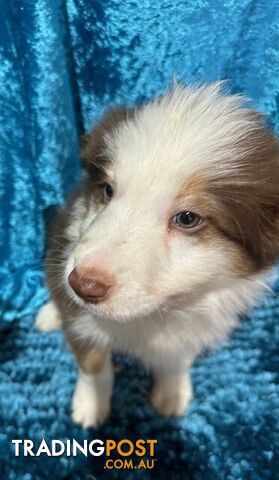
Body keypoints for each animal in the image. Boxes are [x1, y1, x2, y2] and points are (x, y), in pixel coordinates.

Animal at [36, 82, 279, 428]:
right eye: (108, 190)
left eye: (187, 218)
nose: (83, 285)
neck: (156, 314)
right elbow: (93, 362)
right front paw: (90, 405)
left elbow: (177, 357)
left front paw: (171, 393)